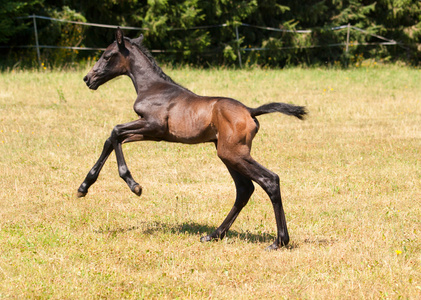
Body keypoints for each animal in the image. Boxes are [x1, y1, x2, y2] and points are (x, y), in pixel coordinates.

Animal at [77, 28, 306, 250]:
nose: (88, 79)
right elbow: (112, 139)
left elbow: (115, 131)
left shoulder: (154, 125)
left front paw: (134, 185)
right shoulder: (153, 133)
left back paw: (278, 241)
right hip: (227, 154)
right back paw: (214, 235)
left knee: (269, 180)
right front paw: (83, 187)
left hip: (233, 153)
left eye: (107, 56)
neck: (152, 88)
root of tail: (250, 111)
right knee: (244, 189)